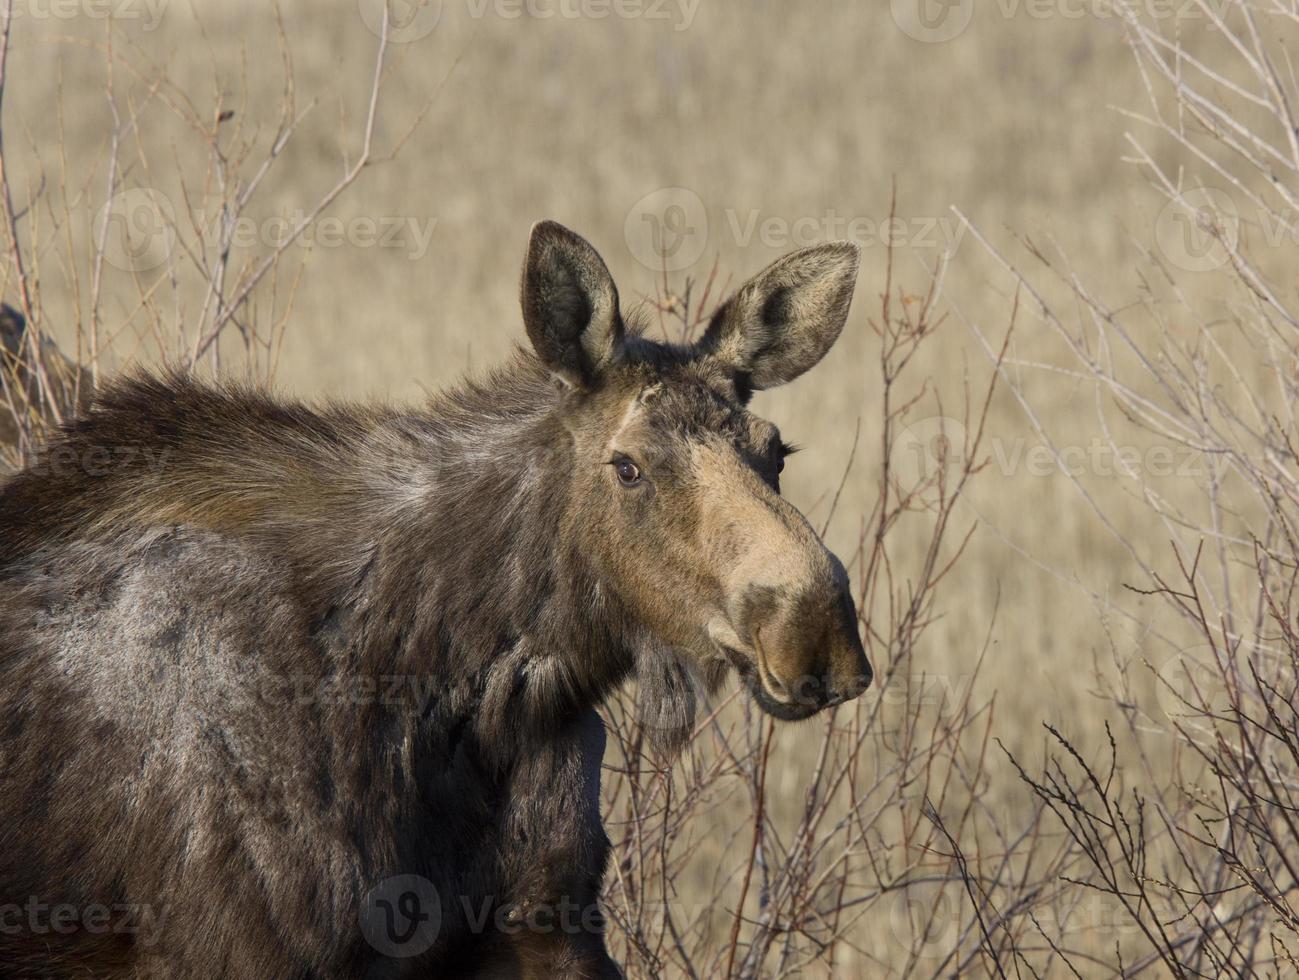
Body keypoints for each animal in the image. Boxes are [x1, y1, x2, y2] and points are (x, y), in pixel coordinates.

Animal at [2, 223, 872, 977]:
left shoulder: (548, 921)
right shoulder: (231, 951)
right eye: (627, 467)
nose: (816, 633)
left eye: (776, 452)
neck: (460, 700)